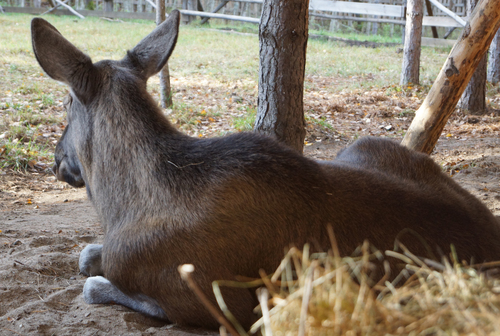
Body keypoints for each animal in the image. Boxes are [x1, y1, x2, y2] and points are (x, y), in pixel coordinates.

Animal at [30, 10, 500, 330]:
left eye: (66, 103)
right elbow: (88, 254)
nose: (56, 159)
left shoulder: (206, 302)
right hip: (365, 144)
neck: (120, 206)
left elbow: (95, 282)